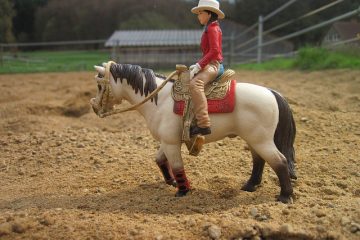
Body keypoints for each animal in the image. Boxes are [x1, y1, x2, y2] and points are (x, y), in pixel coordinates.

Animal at [90, 62, 296, 202]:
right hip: (254, 140)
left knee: (280, 162)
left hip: (261, 140)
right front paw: (172, 182)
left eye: (100, 85)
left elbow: (177, 166)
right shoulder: (168, 141)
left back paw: (285, 197)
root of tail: (272, 92)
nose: (94, 108)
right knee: (259, 160)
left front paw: (182, 191)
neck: (160, 99)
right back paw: (250, 186)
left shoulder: (171, 143)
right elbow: (160, 160)